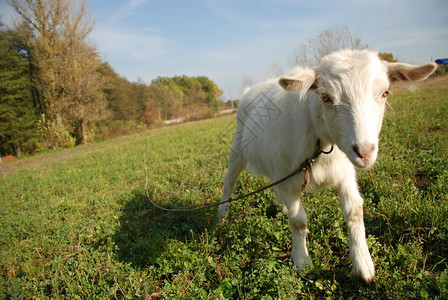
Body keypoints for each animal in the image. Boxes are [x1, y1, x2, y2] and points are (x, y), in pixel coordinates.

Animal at [219, 49, 436, 284]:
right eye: (325, 97)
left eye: (385, 93)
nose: (364, 152)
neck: (320, 144)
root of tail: (249, 92)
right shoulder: (289, 178)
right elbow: (298, 221)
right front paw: (302, 262)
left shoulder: (343, 172)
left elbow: (355, 211)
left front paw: (364, 266)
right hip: (238, 150)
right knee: (229, 181)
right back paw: (222, 214)